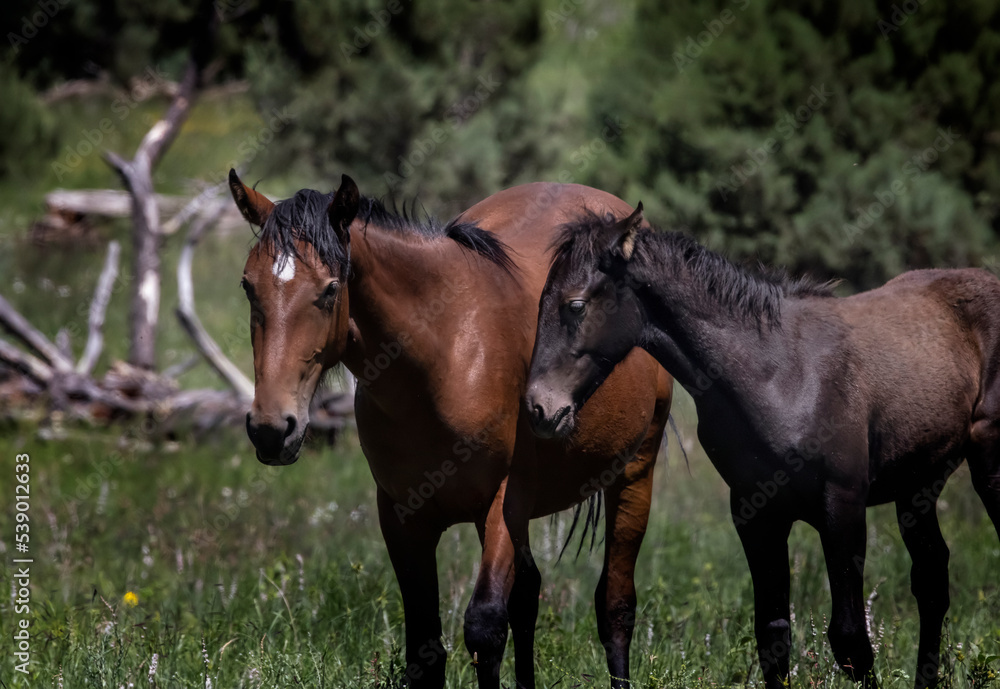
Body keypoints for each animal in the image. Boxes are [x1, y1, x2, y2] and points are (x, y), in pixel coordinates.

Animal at [229, 168, 672, 688]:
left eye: (330, 289)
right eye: (248, 286)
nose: (271, 429)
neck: (446, 357)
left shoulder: (504, 503)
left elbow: (484, 629)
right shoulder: (402, 515)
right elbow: (426, 646)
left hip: (635, 476)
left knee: (615, 608)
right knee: (529, 595)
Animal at [524, 204, 1000, 688]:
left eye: (576, 305)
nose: (540, 408)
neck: (780, 374)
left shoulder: (843, 505)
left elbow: (850, 640)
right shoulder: (755, 512)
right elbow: (772, 634)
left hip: (988, 464)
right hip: (919, 483)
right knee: (932, 579)